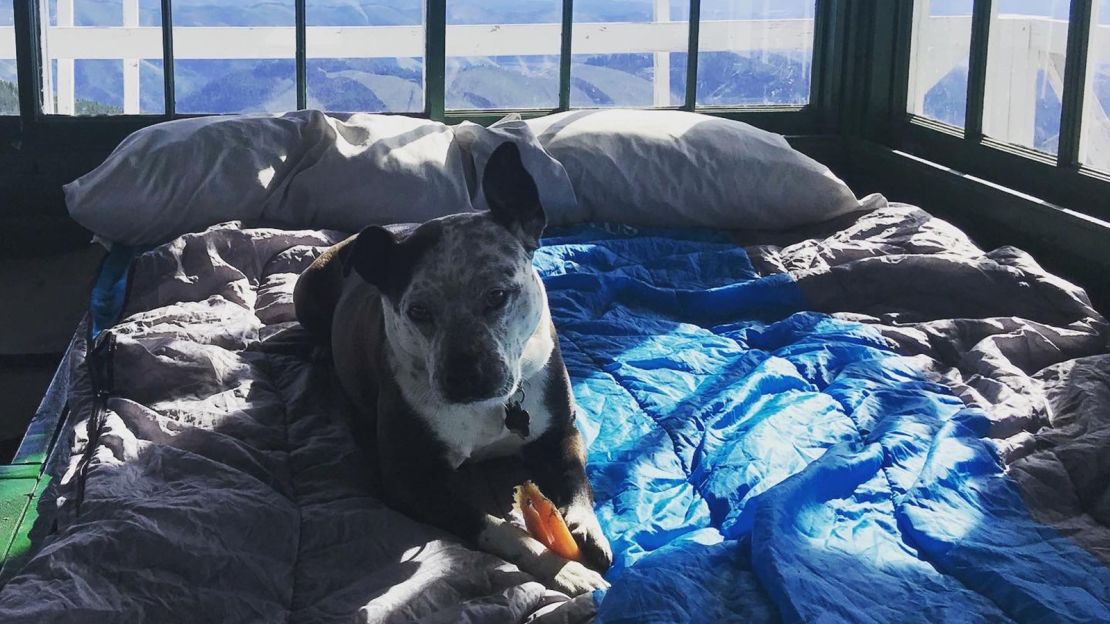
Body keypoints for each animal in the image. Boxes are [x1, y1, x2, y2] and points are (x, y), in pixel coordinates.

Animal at [290, 141, 612, 590]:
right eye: (418, 311)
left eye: (498, 295)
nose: (465, 376)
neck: (492, 409)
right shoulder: (411, 480)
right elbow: (496, 525)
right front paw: (561, 568)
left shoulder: (560, 434)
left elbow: (577, 482)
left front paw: (585, 527)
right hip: (308, 291)